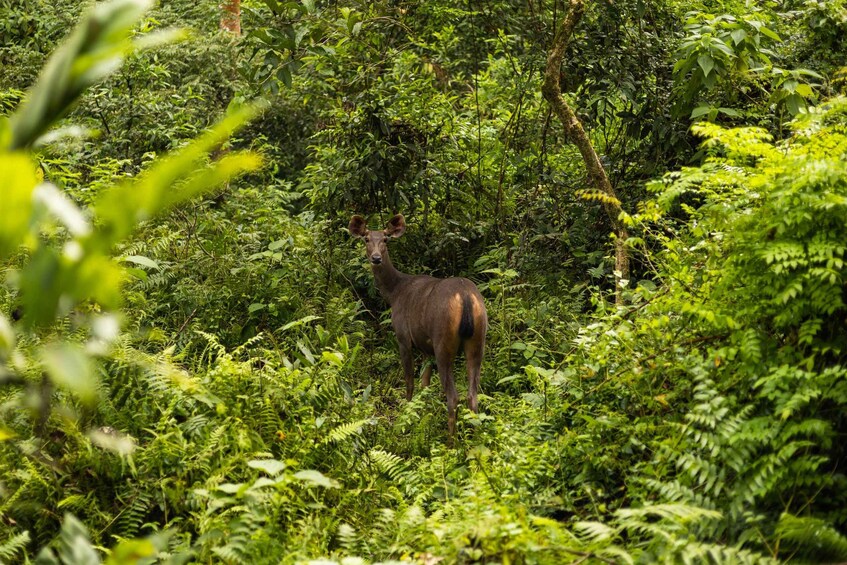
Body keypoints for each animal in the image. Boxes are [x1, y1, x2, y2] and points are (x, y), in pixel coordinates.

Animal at [348, 214, 487, 440]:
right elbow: (424, 384)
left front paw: (405, 420)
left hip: (443, 342)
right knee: (472, 394)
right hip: (478, 340)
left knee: (453, 396)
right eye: (366, 239)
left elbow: (410, 382)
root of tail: (466, 297)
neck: (394, 293)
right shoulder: (425, 347)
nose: (376, 258)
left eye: (385, 239)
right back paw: (474, 439)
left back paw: (452, 443)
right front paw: (422, 417)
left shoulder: (403, 337)